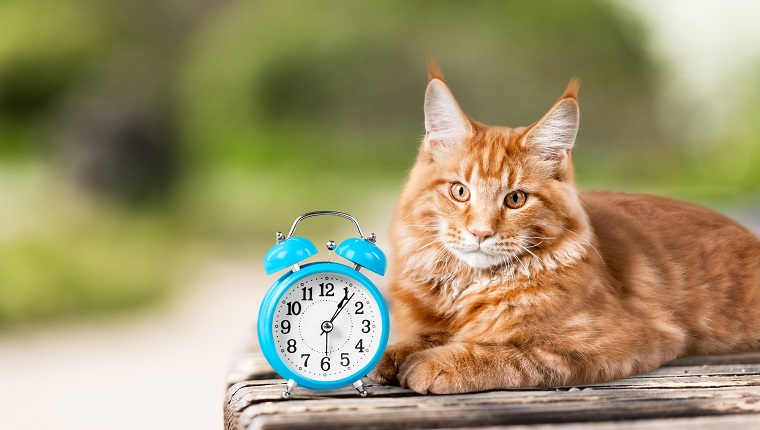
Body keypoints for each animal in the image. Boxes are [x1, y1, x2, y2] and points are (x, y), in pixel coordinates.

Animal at [368, 63, 760, 394]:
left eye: (516, 199)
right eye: (459, 191)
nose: (480, 233)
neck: (469, 286)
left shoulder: (622, 340)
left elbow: (510, 354)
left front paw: (436, 363)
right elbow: (425, 335)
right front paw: (395, 354)